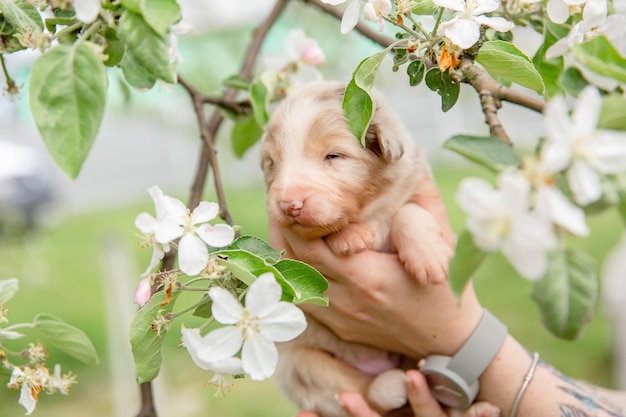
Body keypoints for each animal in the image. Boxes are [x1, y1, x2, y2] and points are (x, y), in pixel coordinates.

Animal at [260, 81, 450, 416]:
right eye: (273, 164)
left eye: (333, 155)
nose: (289, 204)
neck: (370, 212)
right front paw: (351, 237)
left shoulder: (412, 183)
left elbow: (408, 212)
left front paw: (429, 258)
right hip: (301, 363)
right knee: (357, 390)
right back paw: (391, 386)